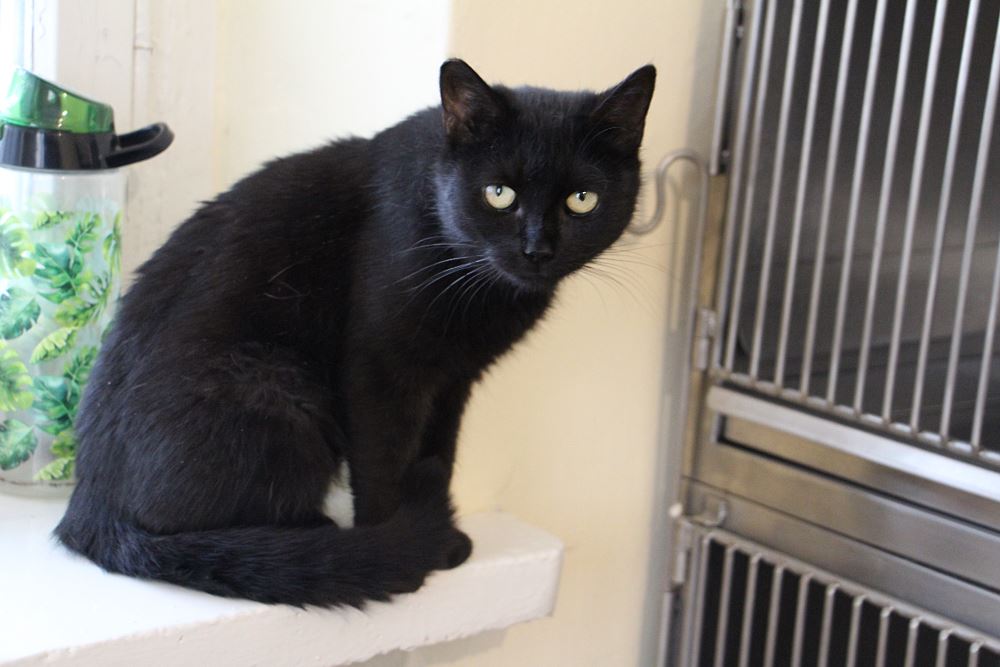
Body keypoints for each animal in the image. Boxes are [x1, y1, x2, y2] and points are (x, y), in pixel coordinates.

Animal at [55, 59, 656, 607]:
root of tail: (89, 511)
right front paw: (400, 546)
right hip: (279, 384)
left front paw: (442, 533)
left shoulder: (452, 381)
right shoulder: (379, 370)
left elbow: (440, 451)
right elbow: (384, 461)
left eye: (582, 200)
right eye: (499, 193)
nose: (537, 249)